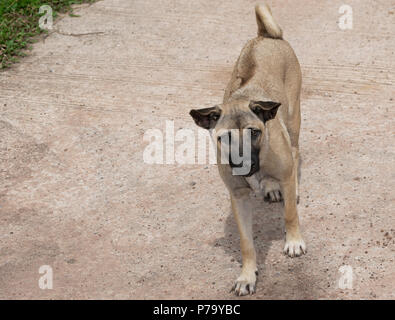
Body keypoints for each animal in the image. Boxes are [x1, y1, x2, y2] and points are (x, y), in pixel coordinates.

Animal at [190, 3, 308, 296]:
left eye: (254, 133)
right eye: (224, 138)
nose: (242, 165)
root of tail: (265, 35)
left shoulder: (283, 173)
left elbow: (290, 214)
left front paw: (293, 240)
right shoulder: (239, 196)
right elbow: (246, 243)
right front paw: (247, 275)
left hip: (293, 119)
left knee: (295, 153)